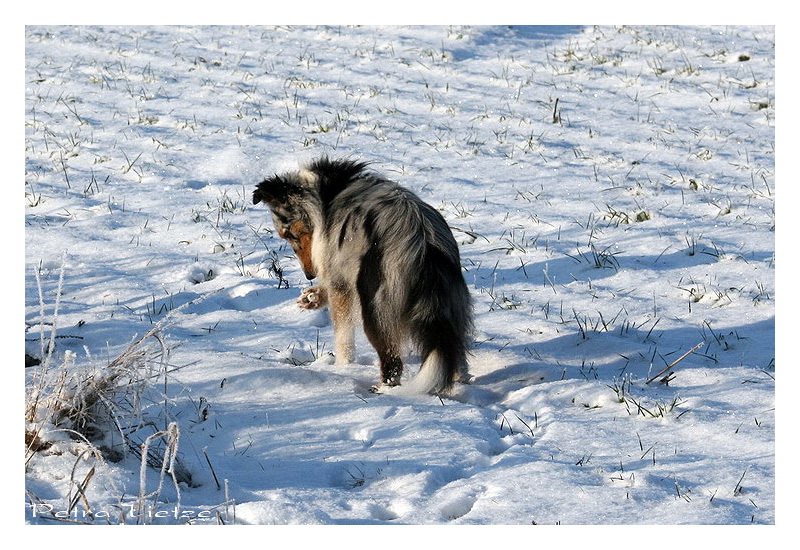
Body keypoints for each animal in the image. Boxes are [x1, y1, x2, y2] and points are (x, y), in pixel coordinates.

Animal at [253, 157, 472, 394]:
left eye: (290, 235)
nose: (309, 274)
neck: (323, 195)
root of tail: (424, 246)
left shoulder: (338, 274)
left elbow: (343, 334)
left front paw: (342, 367)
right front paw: (312, 297)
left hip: (376, 308)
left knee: (393, 362)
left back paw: (382, 389)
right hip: (449, 307)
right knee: (454, 351)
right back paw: (460, 379)